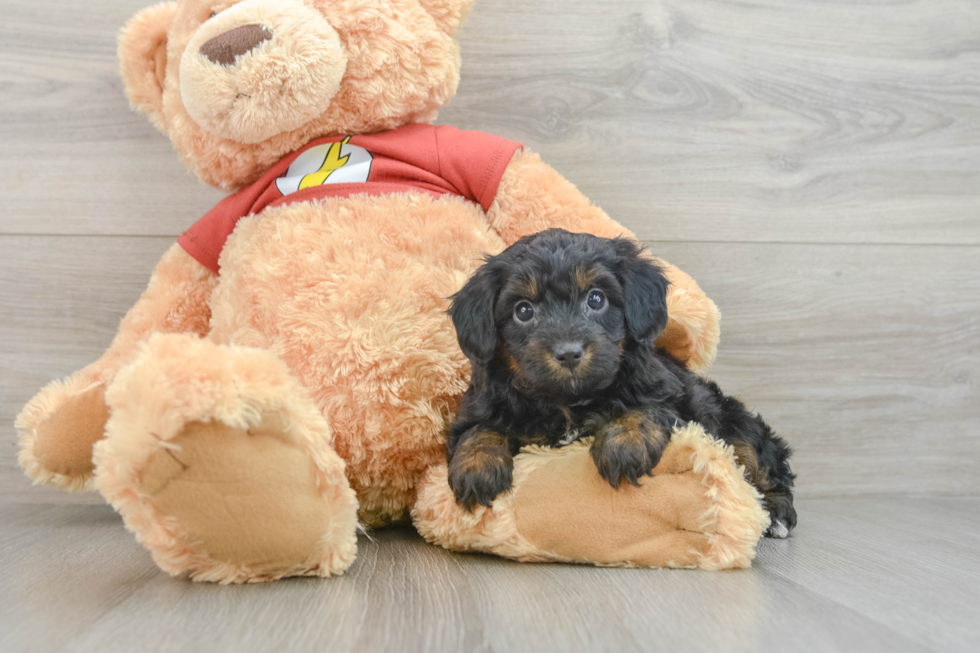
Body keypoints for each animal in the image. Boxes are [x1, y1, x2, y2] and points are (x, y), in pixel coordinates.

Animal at [448, 227, 800, 536]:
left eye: (596, 299)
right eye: (523, 310)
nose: (569, 353)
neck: (567, 401)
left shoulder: (666, 392)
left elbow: (644, 406)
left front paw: (626, 443)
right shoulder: (479, 406)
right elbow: (477, 430)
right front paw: (476, 468)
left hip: (735, 421)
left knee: (761, 462)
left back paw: (777, 513)